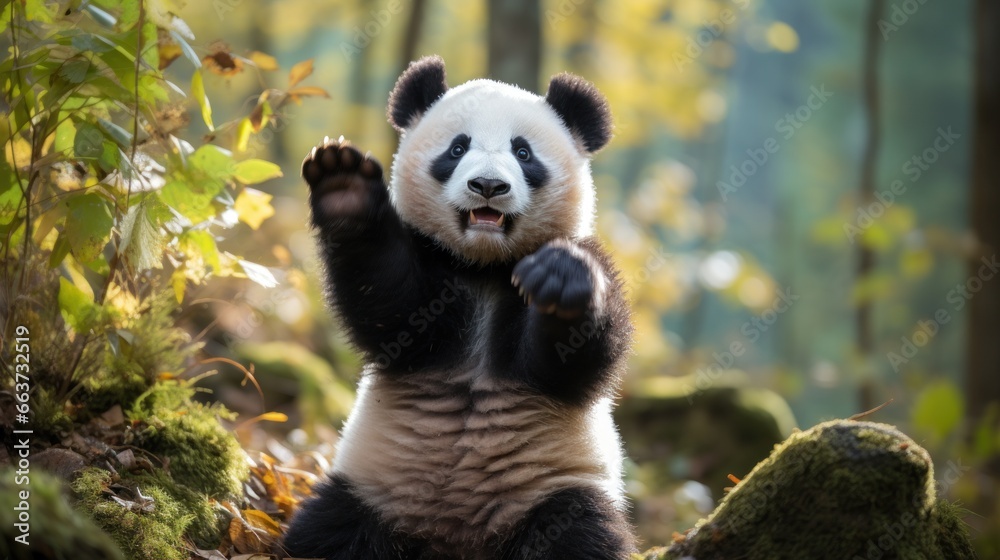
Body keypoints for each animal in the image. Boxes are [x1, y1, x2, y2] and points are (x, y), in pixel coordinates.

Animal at [284, 55, 632, 560]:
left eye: (523, 153)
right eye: (457, 148)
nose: (488, 185)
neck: (484, 267)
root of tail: (454, 540)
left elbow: (576, 364)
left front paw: (561, 280)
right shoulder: (431, 276)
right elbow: (388, 304)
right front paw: (344, 187)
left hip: (551, 487)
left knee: (581, 535)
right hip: (375, 488)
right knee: (328, 531)